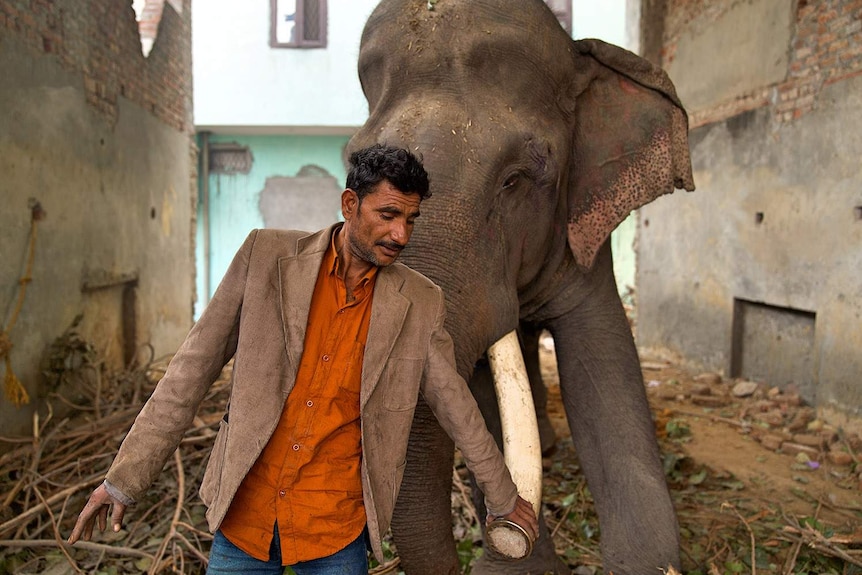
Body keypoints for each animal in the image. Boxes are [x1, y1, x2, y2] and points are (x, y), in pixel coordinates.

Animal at [346, 1, 696, 575]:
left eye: (516, 179)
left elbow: (601, 370)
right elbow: (481, 395)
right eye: (356, 165)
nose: (503, 534)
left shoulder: (582, 235)